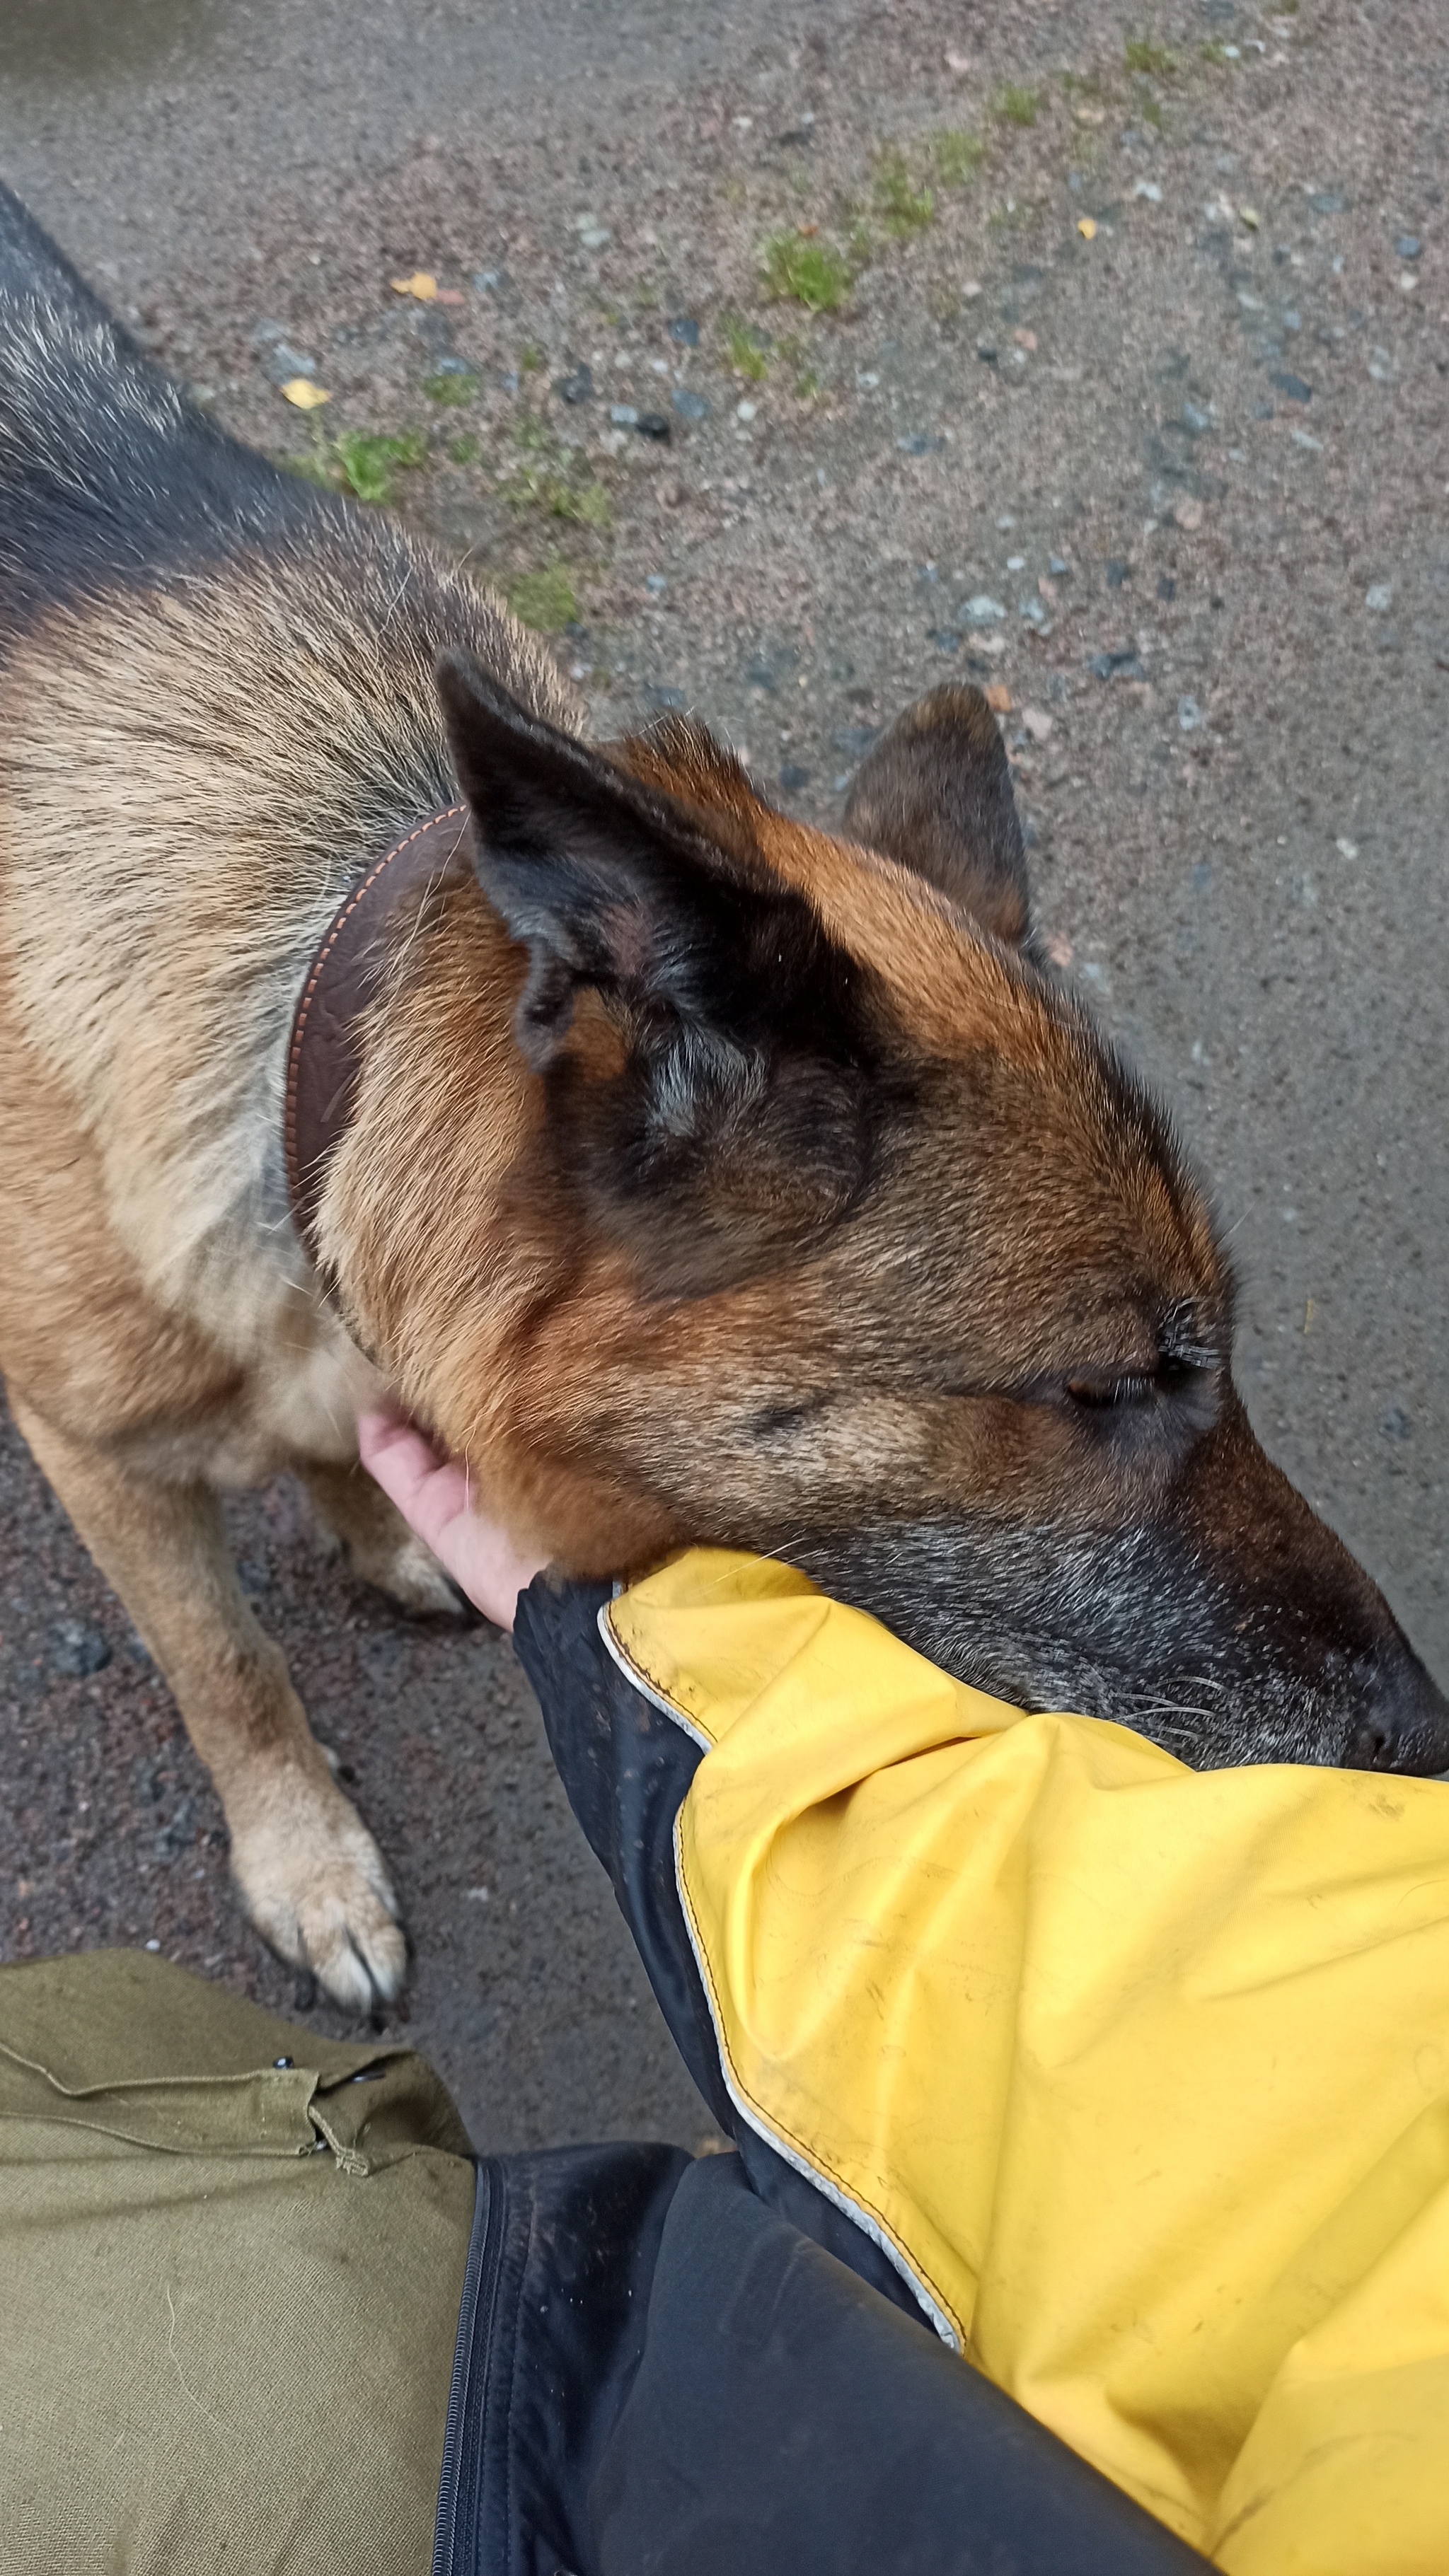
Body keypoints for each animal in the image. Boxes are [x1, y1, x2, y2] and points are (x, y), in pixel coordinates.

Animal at [2, 187, 1443, 2009]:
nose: (1426, 1733)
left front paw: (368, 1525)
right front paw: (305, 1861)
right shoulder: (96, 1455)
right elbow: (226, 1665)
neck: (294, 1055)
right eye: (1109, 1387)